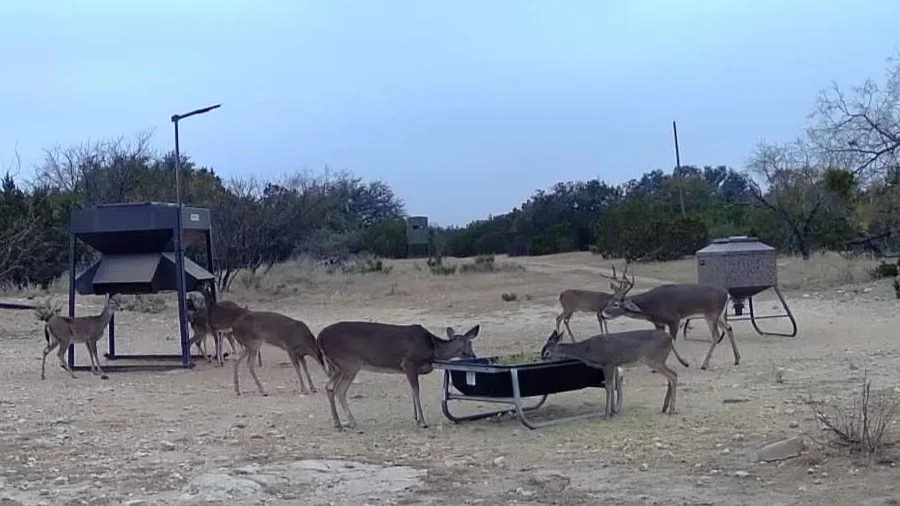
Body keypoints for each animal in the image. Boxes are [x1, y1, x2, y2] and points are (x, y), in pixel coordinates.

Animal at [317, 321, 481, 430]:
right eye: (469, 344)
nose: (474, 356)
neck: (433, 350)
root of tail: (319, 338)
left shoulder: (410, 369)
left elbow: (412, 392)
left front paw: (416, 418)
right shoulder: (409, 363)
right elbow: (416, 391)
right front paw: (422, 421)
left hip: (337, 367)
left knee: (328, 386)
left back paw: (337, 423)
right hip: (349, 363)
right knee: (339, 390)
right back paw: (351, 421)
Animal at [599, 263, 739, 370]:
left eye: (616, 304)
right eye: (610, 301)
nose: (603, 313)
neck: (651, 307)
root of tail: (726, 293)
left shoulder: (674, 319)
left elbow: (671, 341)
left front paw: (684, 363)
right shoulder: (659, 323)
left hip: (711, 314)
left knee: (716, 335)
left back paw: (704, 365)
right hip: (719, 315)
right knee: (729, 328)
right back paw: (737, 359)